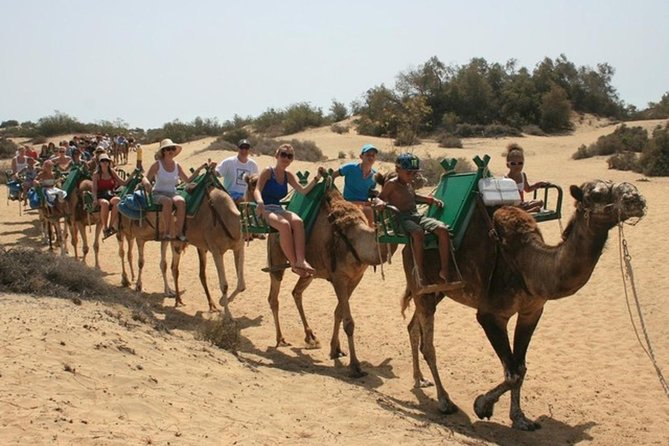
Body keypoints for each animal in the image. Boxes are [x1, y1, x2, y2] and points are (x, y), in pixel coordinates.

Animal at [243, 176, 394, 378]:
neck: (356, 239)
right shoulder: (339, 278)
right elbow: (348, 322)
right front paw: (355, 366)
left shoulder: (355, 278)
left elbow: (338, 312)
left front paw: (335, 349)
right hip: (276, 257)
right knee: (273, 297)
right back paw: (281, 338)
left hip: (310, 271)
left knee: (296, 292)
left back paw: (310, 336)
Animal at [396, 179, 648, 430]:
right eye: (596, 194)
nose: (637, 200)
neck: (530, 266)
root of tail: (408, 245)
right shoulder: (491, 315)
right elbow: (512, 372)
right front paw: (482, 405)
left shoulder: (532, 311)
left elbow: (520, 367)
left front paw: (519, 417)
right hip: (421, 285)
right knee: (428, 345)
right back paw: (444, 401)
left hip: (437, 290)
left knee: (412, 328)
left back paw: (419, 379)